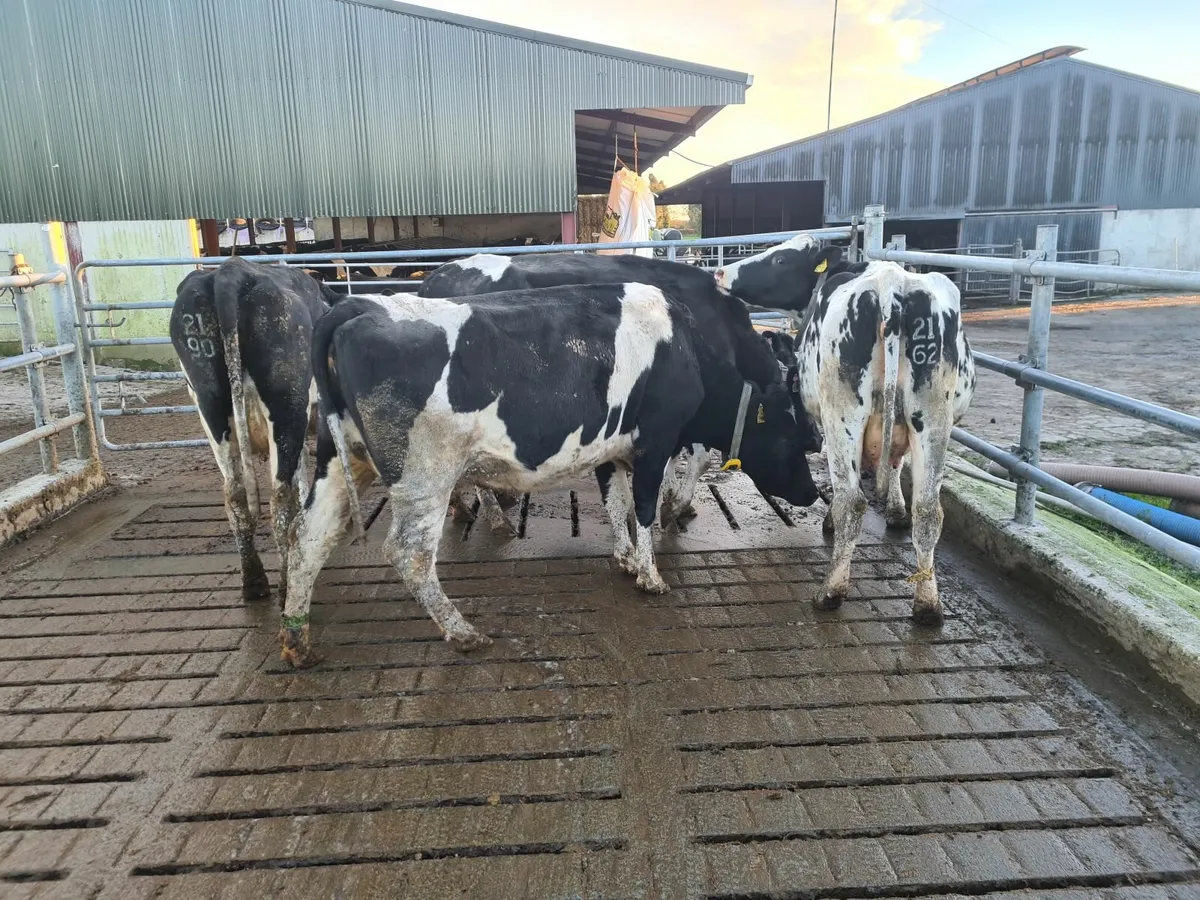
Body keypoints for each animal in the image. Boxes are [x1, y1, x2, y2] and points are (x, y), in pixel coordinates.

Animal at [170, 256, 337, 606]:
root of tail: (230, 271)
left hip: (209, 403)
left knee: (234, 492)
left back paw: (254, 580)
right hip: (287, 403)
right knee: (279, 497)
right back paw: (285, 584)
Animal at [277, 284, 820, 668]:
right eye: (794, 431)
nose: (814, 492)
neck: (686, 349)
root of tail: (359, 307)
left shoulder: (611, 450)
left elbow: (615, 504)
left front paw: (625, 559)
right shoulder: (656, 442)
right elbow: (643, 508)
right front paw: (650, 575)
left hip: (339, 458)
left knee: (308, 538)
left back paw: (296, 639)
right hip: (424, 474)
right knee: (409, 553)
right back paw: (462, 632)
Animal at [417, 250, 830, 527]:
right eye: (791, 433)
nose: (818, 440)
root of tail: (437, 275)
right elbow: (696, 459)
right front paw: (675, 505)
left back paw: (465, 506)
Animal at [717, 257, 976, 625]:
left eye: (780, 259)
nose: (720, 272)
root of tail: (892, 286)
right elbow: (896, 464)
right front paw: (896, 510)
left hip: (846, 415)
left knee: (852, 502)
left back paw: (831, 591)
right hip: (932, 419)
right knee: (927, 511)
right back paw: (927, 604)